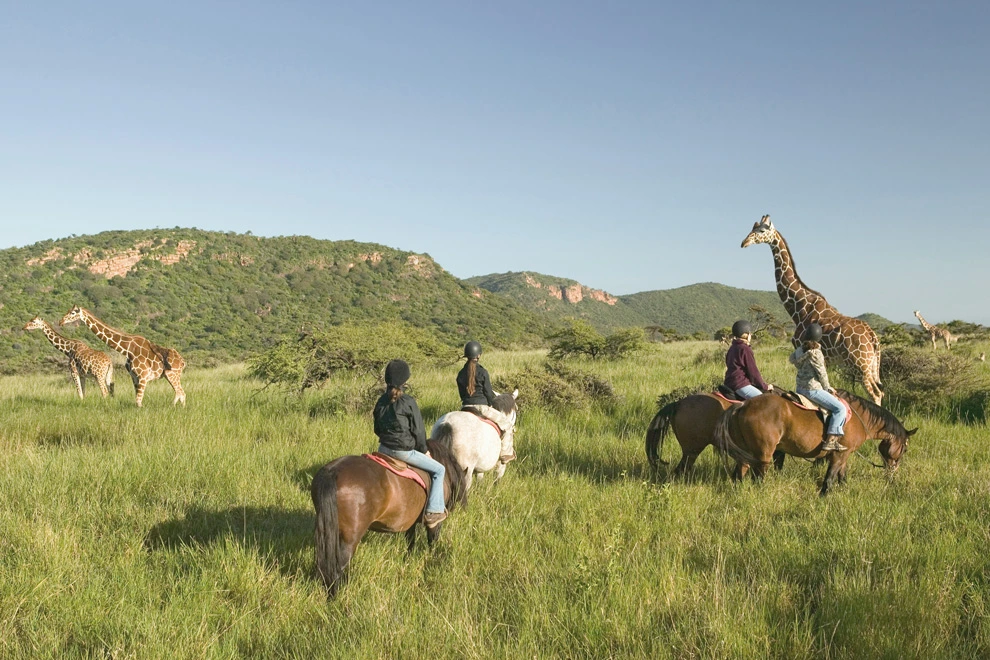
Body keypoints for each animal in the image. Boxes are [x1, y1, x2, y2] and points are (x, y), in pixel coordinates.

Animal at [310, 438, 466, 596]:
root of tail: (332, 471)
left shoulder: (410, 522)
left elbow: (410, 542)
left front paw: (408, 560)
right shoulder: (435, 523)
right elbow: (432, 542)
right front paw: (431, 560)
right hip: (349, 539)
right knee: (337, 568)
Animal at [713, 389, 916, 496]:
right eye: (905, 449)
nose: (892, 472)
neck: (860, 418)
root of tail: (743, 405)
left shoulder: (843, 454)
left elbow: (842, 475)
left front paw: (843, 490)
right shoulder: (839, 454)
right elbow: (830, 477)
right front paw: (824, 496)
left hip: (745, 453)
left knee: (739, 473)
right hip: (763, 454)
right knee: (758, 477)